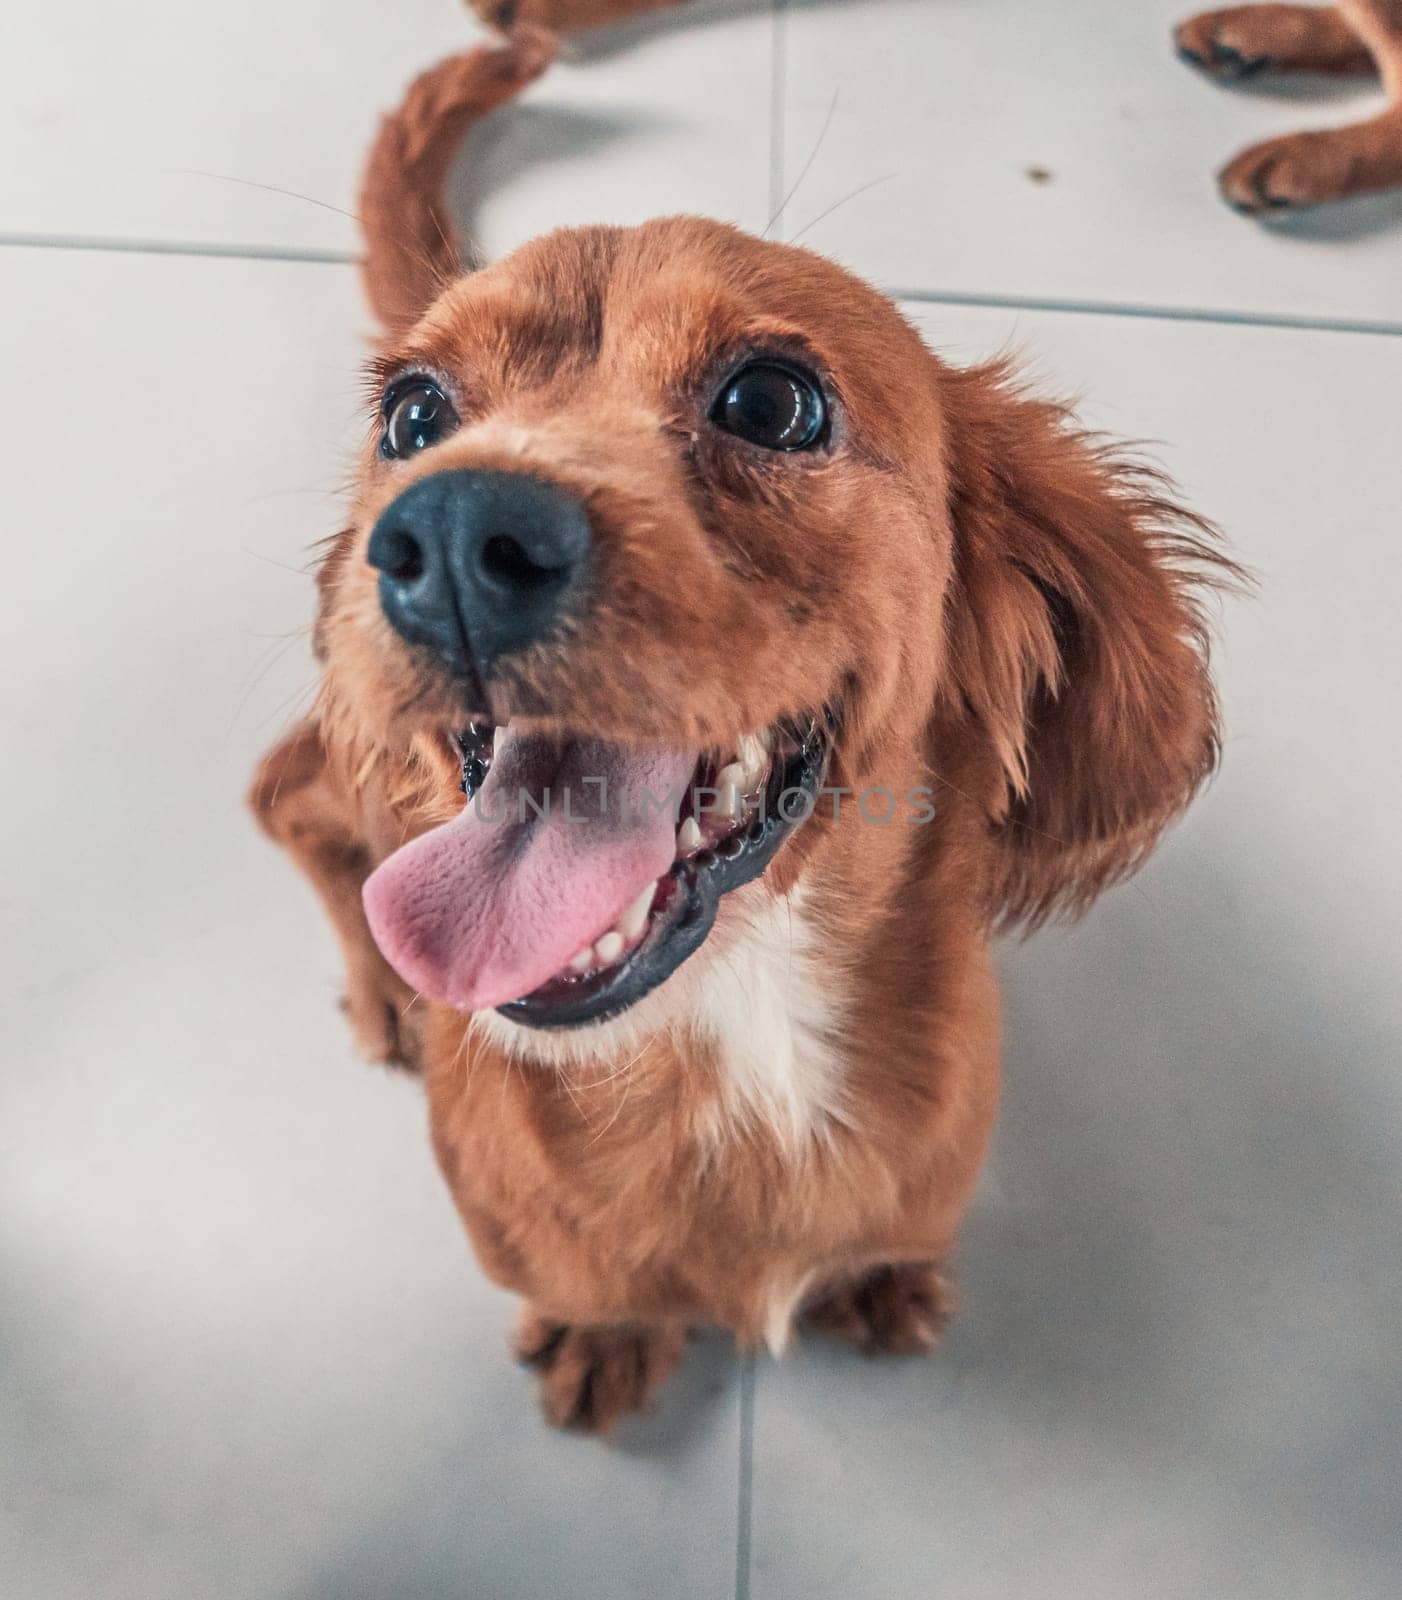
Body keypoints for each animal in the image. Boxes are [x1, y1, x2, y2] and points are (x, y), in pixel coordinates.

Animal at [254, 31, 1235, 1433]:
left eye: (771, 402)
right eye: (416, 415)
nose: (446, 532)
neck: (730, 1040)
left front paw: (876, 1277)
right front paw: (601, 1332)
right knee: (278, 786)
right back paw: (384, 984)